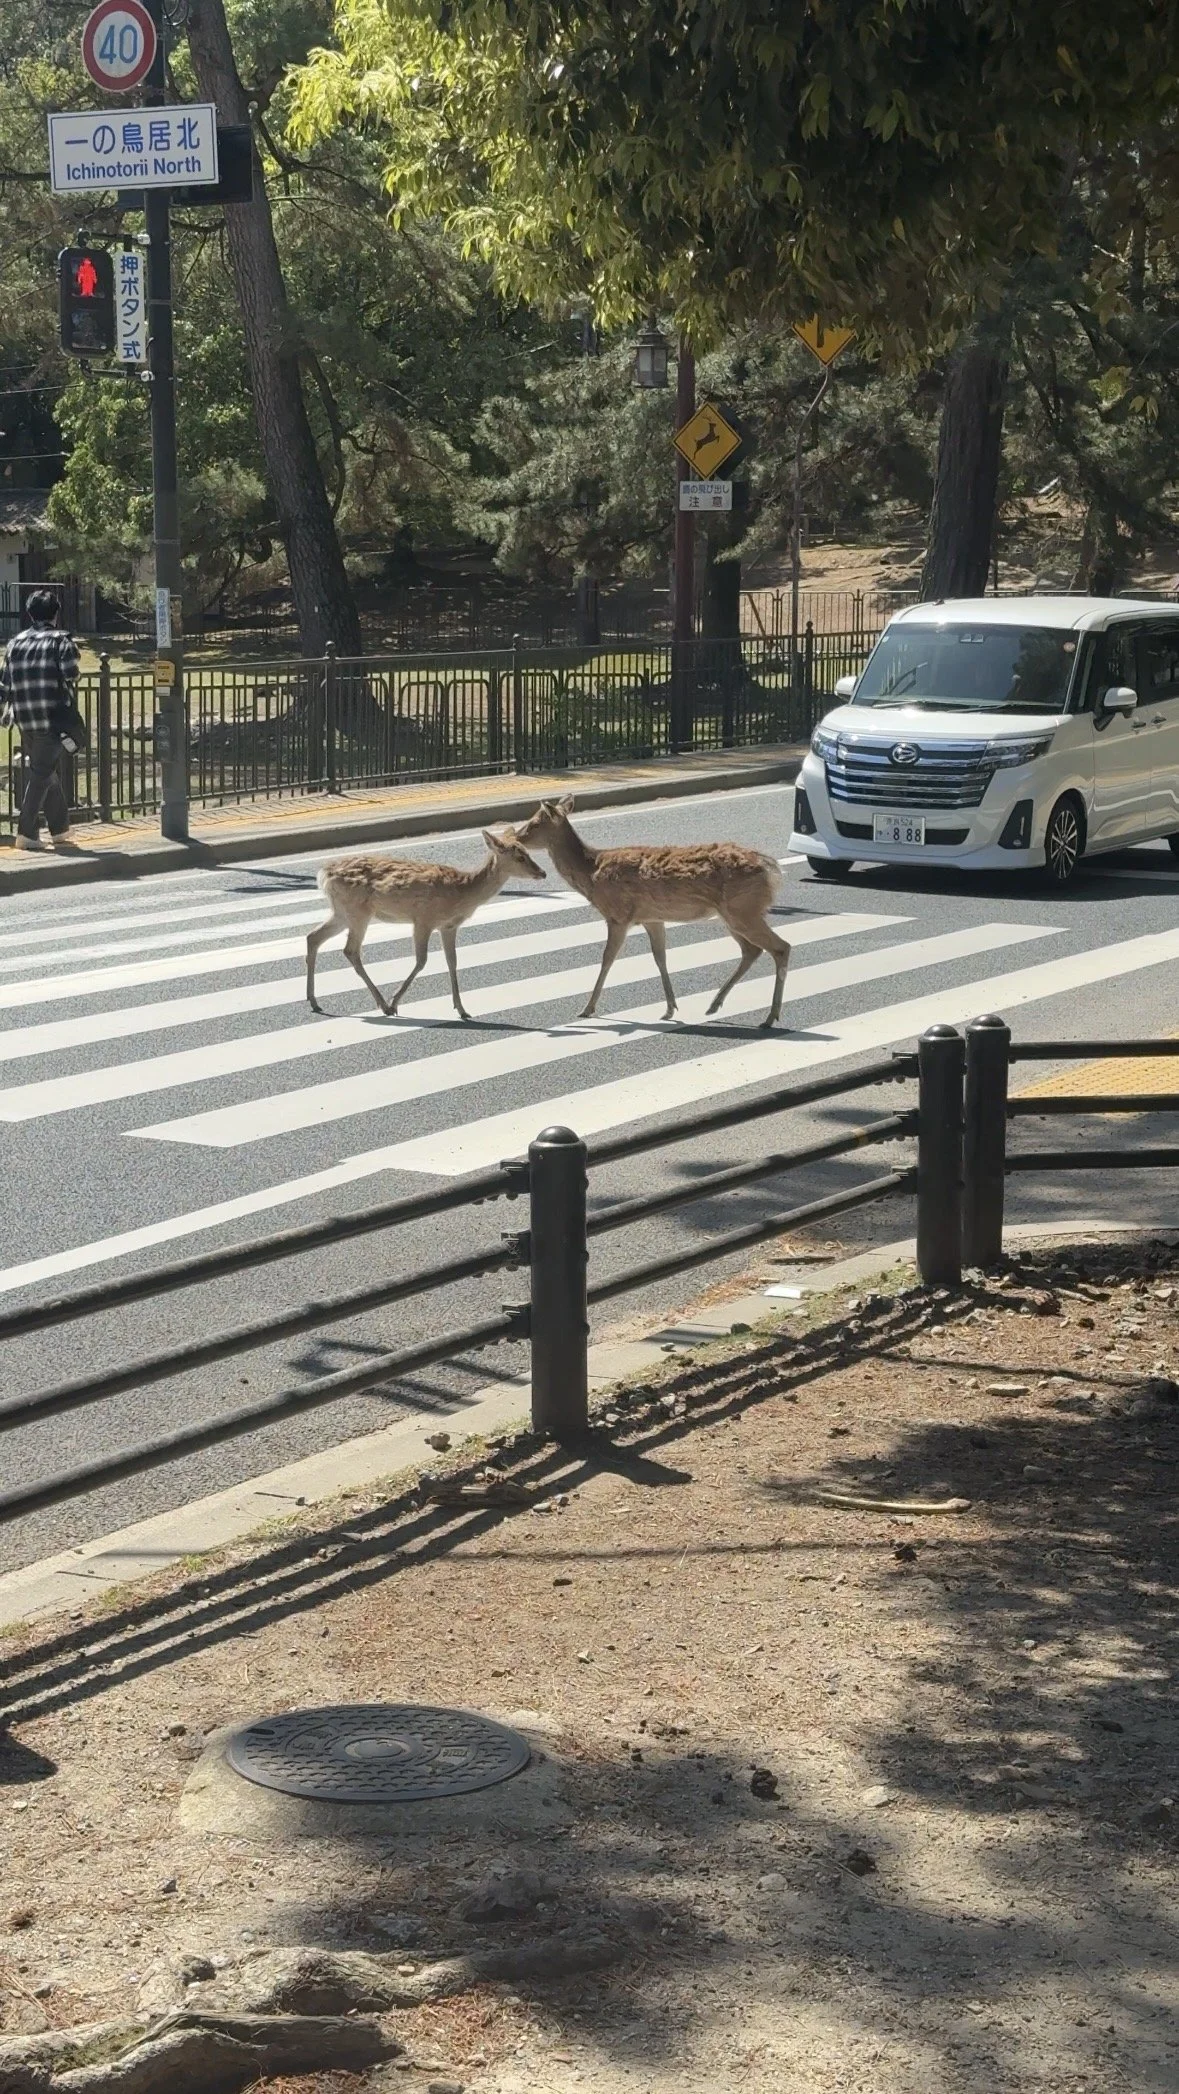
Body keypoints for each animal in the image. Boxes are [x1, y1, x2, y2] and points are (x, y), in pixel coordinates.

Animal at [305, 829, 545, 1019]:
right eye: (520, 857)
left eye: (527, 851)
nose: (542, 872)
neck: (462, 893)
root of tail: (323, 874)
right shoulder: (423, 919)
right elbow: (422, 961)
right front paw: (395, 1002)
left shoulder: (449, 926)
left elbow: (452, 962)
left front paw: (462, 1009)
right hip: (358, 912)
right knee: (350, 950)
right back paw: (383, 1005)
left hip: (342, 912)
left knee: (313, 936)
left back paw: (314, 1000)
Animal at [515, 796, 790, 1027]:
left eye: (535, 822)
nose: (517, 836)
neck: (591, 873)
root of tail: (771, 870)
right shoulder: (651, 918)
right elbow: (660, 957)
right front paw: (669, 1008)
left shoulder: (618, 915)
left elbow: (607, 958)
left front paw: (587, 1008)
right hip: (732, 915)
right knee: (752, 950)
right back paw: (714, 1004)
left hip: (743, 910)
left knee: (780, 947)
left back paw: (770, 1016)